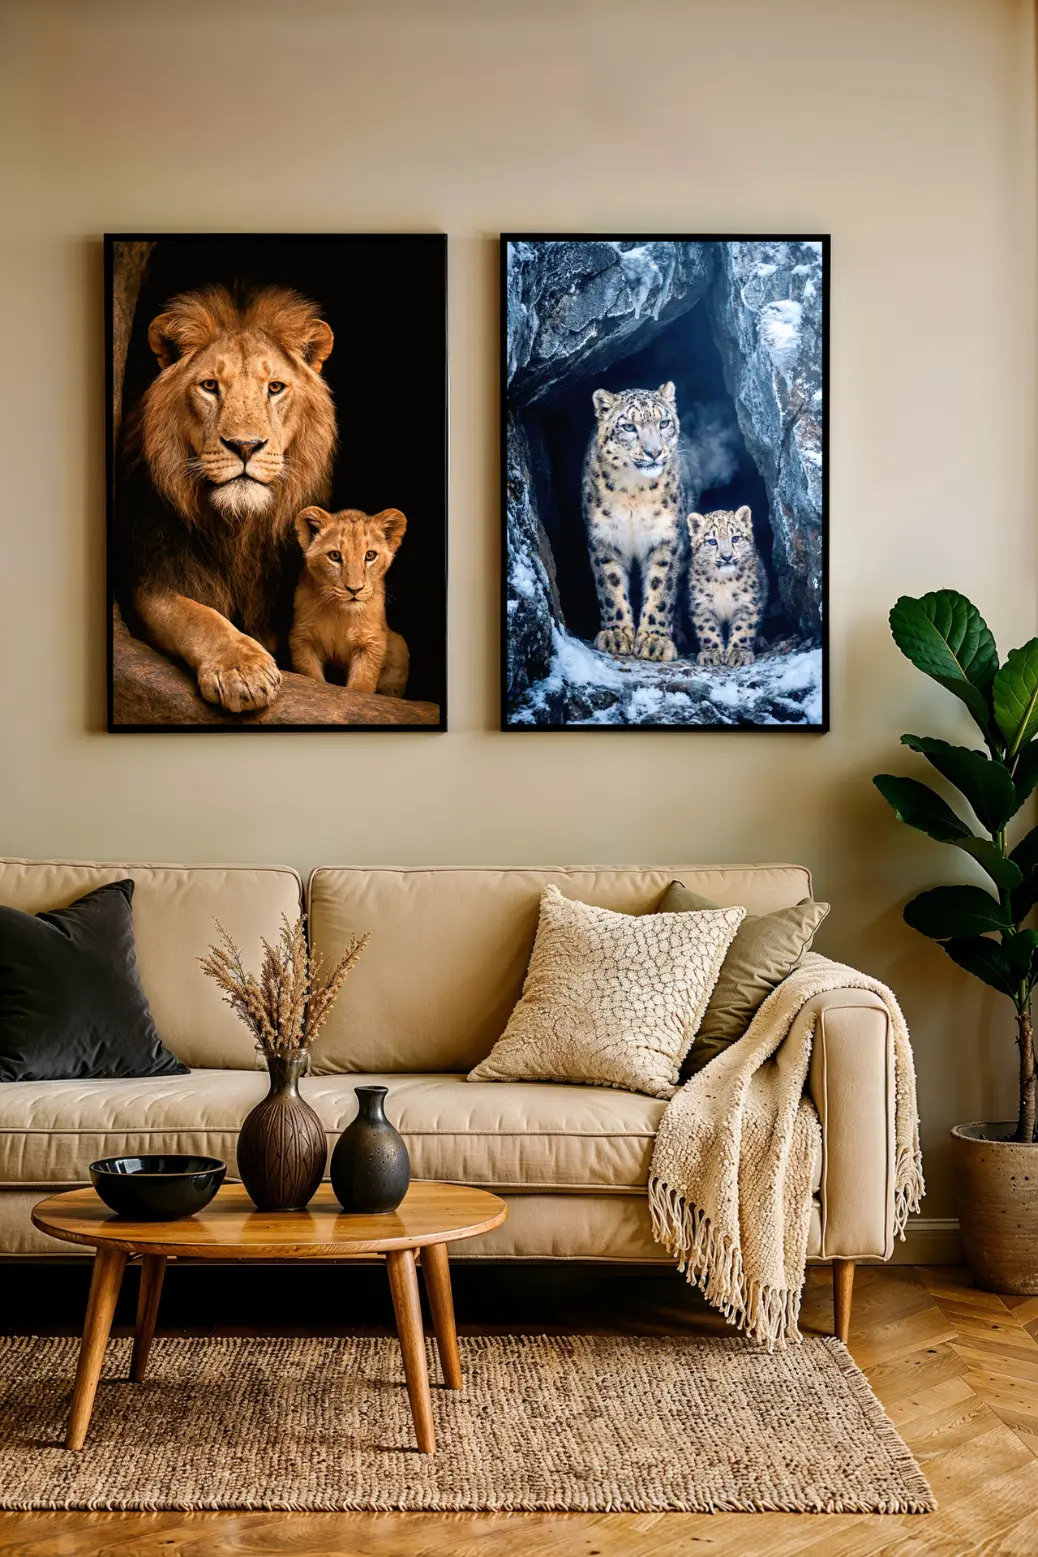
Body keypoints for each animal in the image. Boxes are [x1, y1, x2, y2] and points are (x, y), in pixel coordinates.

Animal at [114, 283, 337, 712]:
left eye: (275, 388)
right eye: (210, 386)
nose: (245, 446)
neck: (237, 530)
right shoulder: (152, 573)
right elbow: (196, 616)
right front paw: (242, 670)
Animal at [581, 382, 683, 662]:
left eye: (664, 423)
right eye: (629, 427)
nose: (654, 452)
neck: (634, 493)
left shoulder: (665, 538)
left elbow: (661, 589)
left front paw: (654, 642)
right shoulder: (604, 539)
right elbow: (610, 586)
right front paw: (617, 635)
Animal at [687, 506, 768, 667]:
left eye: (735, 538)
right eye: (712, 541)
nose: (726, 557)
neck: (723, 582)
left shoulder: (747, 603)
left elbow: (742, 629)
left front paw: (738, 654)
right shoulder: (702, 604)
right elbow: (708, 629)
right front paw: (711, 654)